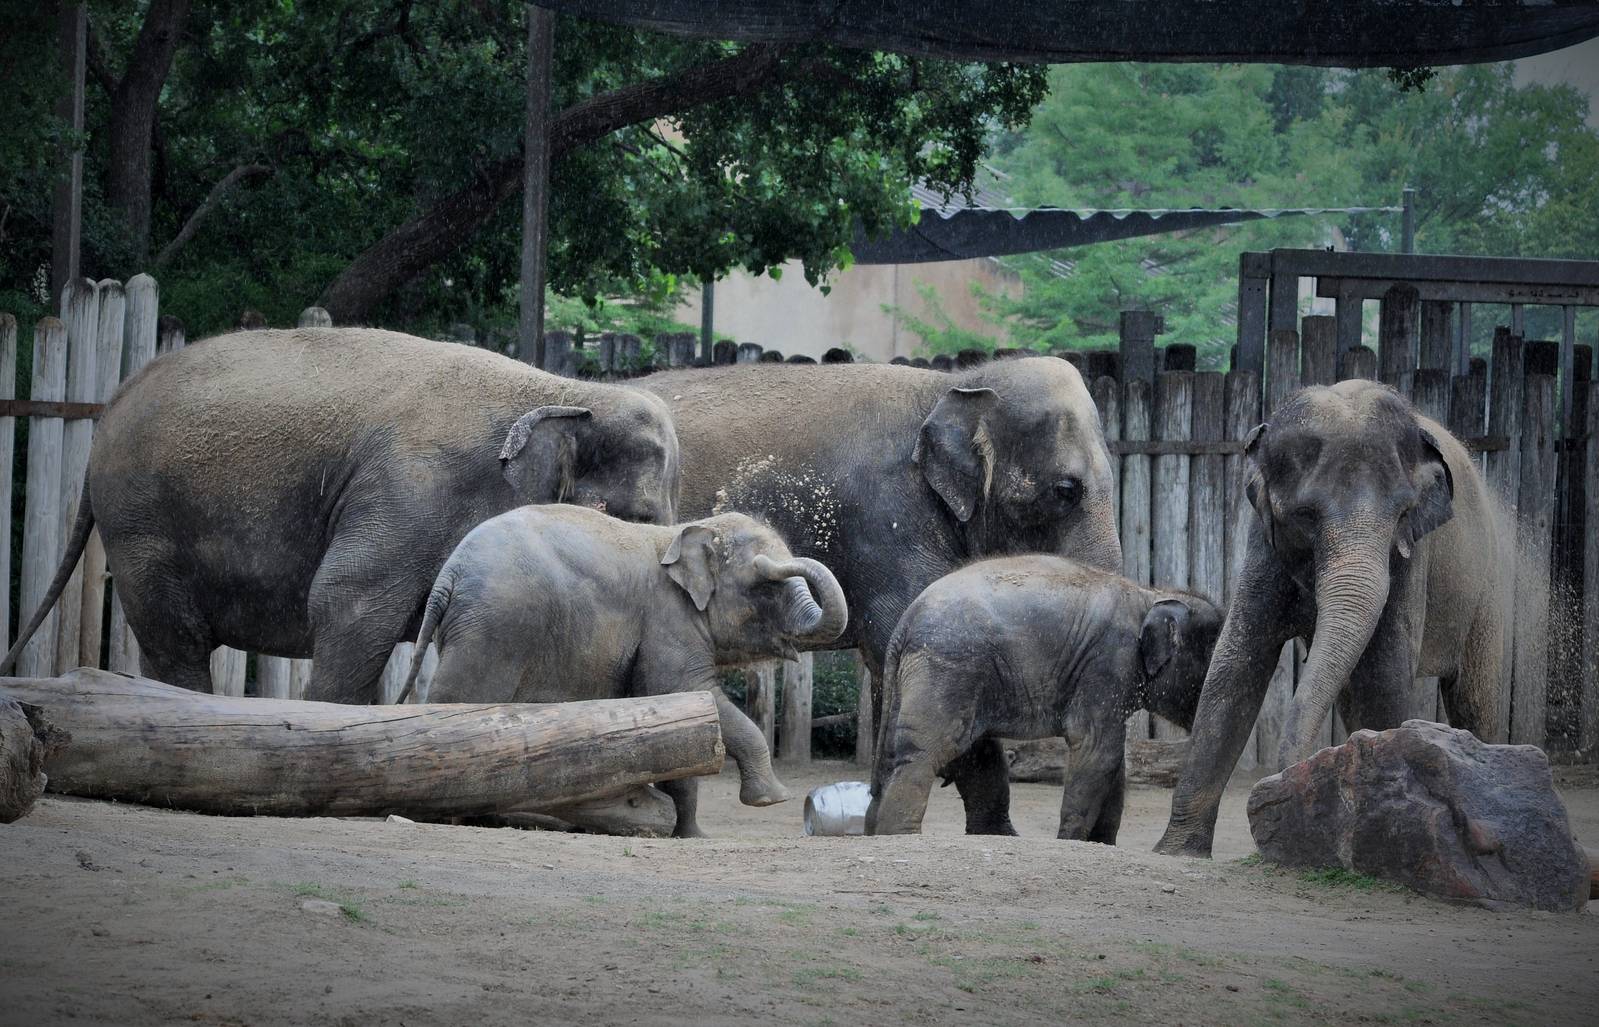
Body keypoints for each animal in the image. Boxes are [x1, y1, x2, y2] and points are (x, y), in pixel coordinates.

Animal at [0, 328, 680, 704]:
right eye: (631, 517)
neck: (565, 390)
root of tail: (111, 405)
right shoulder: (410, 491)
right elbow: (344, 597)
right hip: (141, 521)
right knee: (176, 635)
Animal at [394, 505, 849, 838]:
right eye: (763, 583)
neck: (680, 532)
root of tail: (447, 576)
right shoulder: (668, 620)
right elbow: (691, 695)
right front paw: (771, 799)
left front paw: (690, 835)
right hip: (494, 628)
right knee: (457, 704)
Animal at [865, 556, 1222, 839]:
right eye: (1209, 659)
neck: (1151, 596)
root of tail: (906, 620)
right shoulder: (1107, 664)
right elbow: (1096, 747)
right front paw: (1072, 841)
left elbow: (1113, 759)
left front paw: (1101, 843)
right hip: (946, 668)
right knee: (925, 751)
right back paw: (901, 836)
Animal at [1156, 379, 1509, 859]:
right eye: (1305, 516)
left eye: (1402, 514)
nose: (1282, 784)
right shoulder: (1262, 545)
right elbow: (1235, 667)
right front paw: (1175, 852)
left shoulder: (1412, 559)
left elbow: (1383, 674)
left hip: (1486, 590)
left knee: (1473, 696)